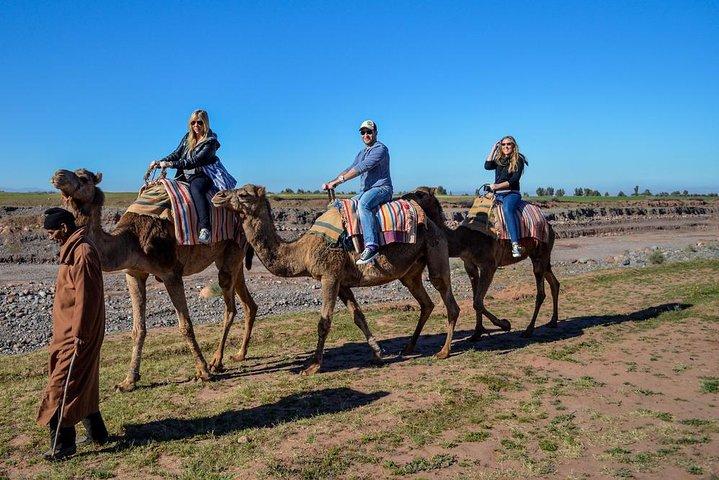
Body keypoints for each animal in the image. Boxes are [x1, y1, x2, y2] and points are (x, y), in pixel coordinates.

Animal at [51, 168, 258, 392]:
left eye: (84, 178)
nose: (58, 175)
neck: (132, 239)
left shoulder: (171, 272)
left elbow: (185, 325)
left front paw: (203, 372)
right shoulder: (133, 273)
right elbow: (138, 329)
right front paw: (128, 381)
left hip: (231, 253)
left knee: (230, 307)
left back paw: (216, 362)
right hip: (230, 257)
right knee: (248, 303)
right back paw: (239, 354)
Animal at [212, 185, 461, 374]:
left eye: (244, 194)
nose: (218, 195)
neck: (302, 251)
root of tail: (434, 221)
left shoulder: (329, 276)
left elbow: (324, 323)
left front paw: (313, 366)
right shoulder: (342, 282)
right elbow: (358, 316)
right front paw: (378, 353)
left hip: (435, 251)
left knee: (450, 302)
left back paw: (444, 351)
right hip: (410, 273)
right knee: (426, 303)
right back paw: (409, 347)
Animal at [403, 188, 559, 338]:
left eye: (420, 193)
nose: (404, 197)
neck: (463, 240)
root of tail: (549, 226)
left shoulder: (489, 266)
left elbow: (477, 302)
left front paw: (505, 324)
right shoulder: (469, 265)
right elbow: (475, 299)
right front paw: (477, 333)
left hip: (540, 252)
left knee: (540, 292)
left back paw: (529, 330)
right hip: (541, 256)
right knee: (554, 282)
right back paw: (552, 321)